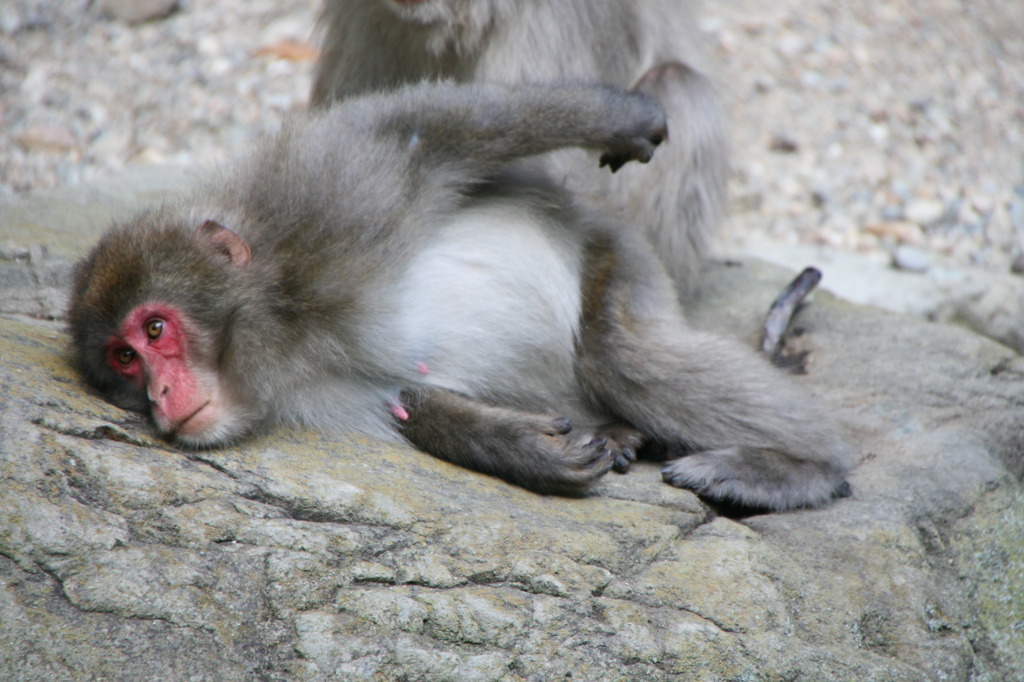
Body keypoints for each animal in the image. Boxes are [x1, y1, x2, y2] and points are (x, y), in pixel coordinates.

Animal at [66, 83, 847, 509]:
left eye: (156, 330)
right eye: (125, 359)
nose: (161, 395)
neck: (285, 328)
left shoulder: (326, 201)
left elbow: (435, 129)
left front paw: (620, 115)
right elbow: (412, 401)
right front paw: (527, 451)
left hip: (620, 256)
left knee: (628, 356)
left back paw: (802, 466)